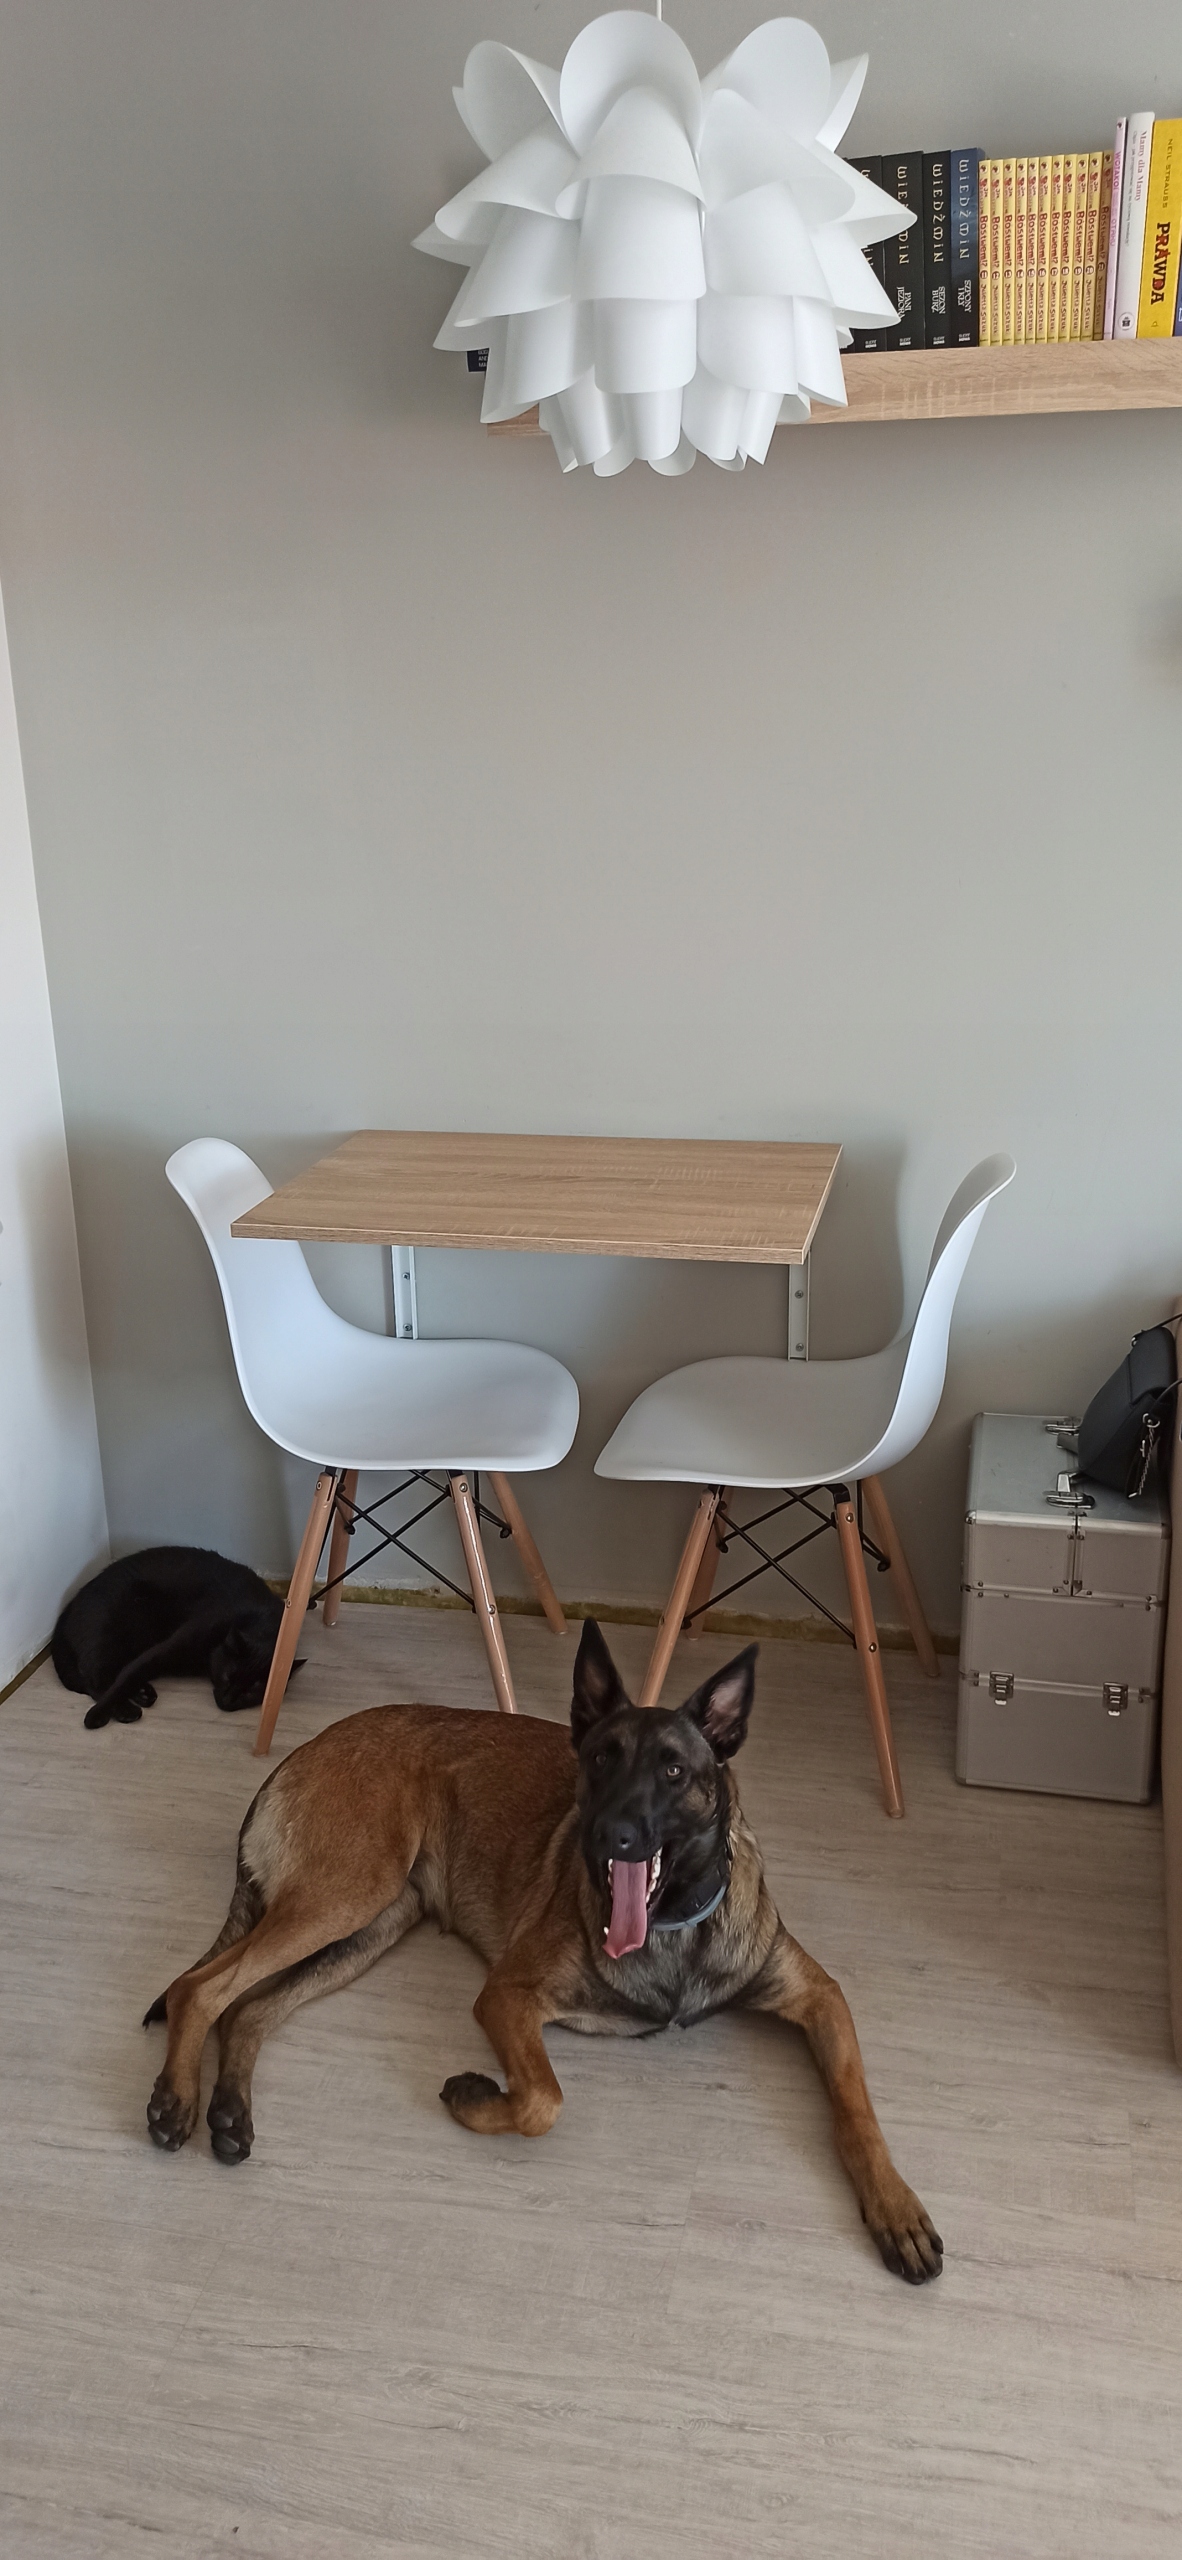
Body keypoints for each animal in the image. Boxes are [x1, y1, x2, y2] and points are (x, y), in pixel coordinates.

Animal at [51, 1547, 301, 1731]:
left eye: (252, 1691)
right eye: (228, 1677)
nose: (228, 1701)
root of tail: (69, 1606)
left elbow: (128, 1673)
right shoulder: (169, 1647)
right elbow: (129, 1675)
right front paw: (95, 1715)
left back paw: (142, 1695)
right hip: (119, 1631)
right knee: (95, 1678)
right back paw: (125, 1710)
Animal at [144, 1620, 942, 2282]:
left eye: (674, 1772)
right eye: (598, 1760)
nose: (610, 1835)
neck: (676, 1929)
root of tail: (302, 1748)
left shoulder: (820, 1998)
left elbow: (856, 2112)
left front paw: (896, 2207)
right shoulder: (508, 1995)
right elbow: (542, 2102)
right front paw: (476, 2097)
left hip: (365, 1929)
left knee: (247, 2009)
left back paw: (229, 2111)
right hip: (347, 1895)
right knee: (200, 1988)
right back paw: (176, 2099)